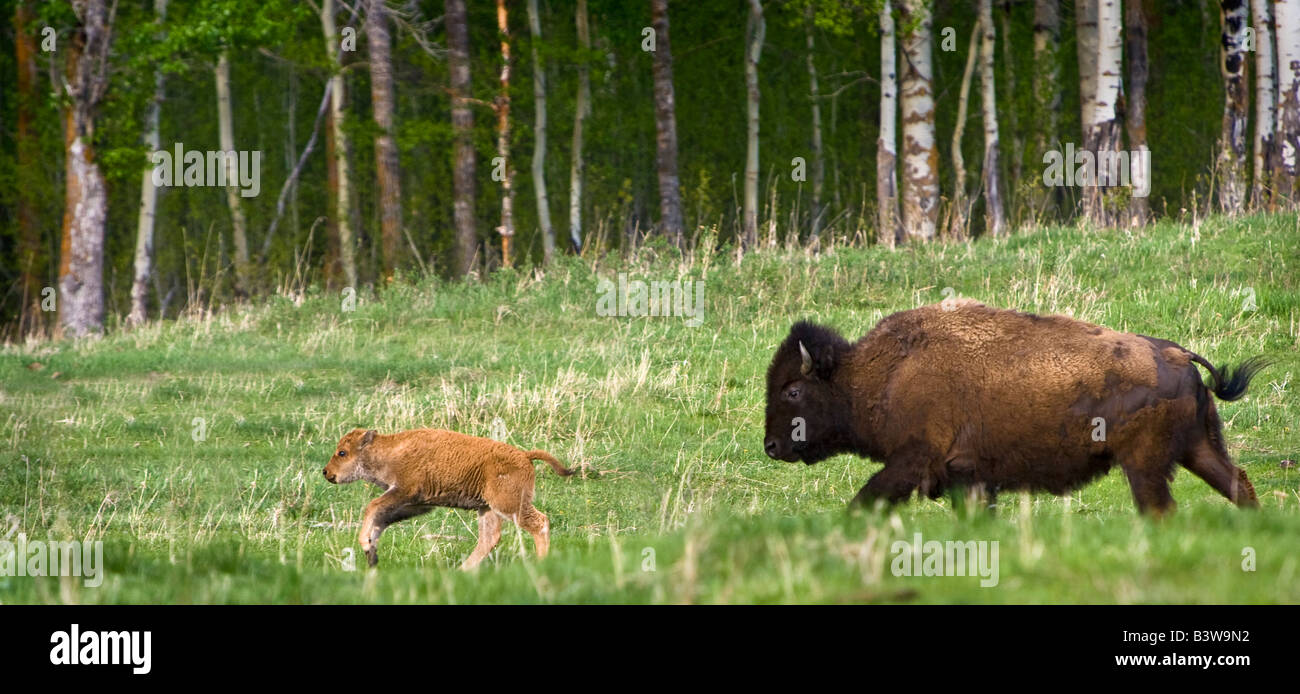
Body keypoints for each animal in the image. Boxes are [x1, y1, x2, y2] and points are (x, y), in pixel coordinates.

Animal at [321, 428, 574, 571]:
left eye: (342, 453)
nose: (326, 472)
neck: (390, 450)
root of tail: (524, 455)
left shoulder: (403, 491)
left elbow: (372, 507)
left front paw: (366, 544)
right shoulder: (416, 504)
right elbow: (381, 518)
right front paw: (371, 552)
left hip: (509, 506)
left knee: (539, 523)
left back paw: (541, 563)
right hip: (488, 509)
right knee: (489, 538)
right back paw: (463, 571)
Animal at [759, 300, 1268, 517]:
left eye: (792, 391)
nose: (771, 446)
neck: (880, 373)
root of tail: (1179, 355)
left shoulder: (914, 459)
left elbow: (868, 496)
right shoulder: (968, 476)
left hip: (1144, 463)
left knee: (1159, 506)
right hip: (1197, 448)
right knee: (1237, 484)